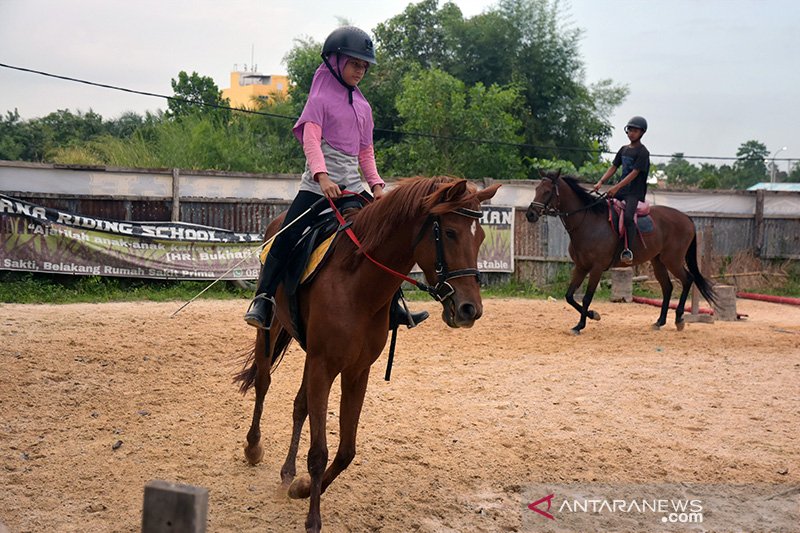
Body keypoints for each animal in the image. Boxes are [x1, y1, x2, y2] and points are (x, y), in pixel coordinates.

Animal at [234, 177, 504, 528]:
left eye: (481, 236)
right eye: (449, 232)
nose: (470, 309)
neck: (357, 284)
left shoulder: (355, 370)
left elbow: (345, 451)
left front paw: (303, 488)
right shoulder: (324, 365)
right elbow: (319, 452)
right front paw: (313, 520)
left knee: (300, 405)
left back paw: (287, 474)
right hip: (273, 328)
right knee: (263, 383)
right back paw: (253, 448)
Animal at [520, 170, 716, 334]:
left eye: (547, 191)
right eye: (537, 189)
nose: (530, 214)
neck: (586, 222)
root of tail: (687, 218)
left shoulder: (597, 268)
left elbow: (586, 297)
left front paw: (581, 324)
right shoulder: (581, 267)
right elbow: (569, 296)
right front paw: (592, 315)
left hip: (672, 259)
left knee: (687, 279)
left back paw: (679, 320)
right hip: (658, 261)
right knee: (668, 287)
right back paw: (659, 322)